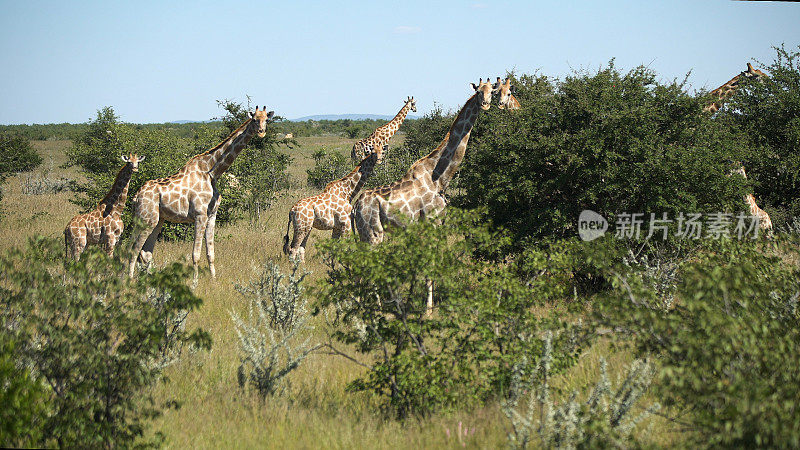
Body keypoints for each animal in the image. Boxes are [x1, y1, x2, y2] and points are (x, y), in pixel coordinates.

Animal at [126, 107, 274, 280]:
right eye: (254, 119)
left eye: (266, 119)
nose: (261, 132)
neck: (212, 172)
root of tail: (136, 196)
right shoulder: (199, 214)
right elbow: (195, 254)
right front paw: (194, 282)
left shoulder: (212, 215)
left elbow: (211, 252)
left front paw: (213, 279)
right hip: (145, 219)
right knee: (134, 249)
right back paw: (128, 280)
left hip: (157, 220)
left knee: (145, 252)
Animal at [352, 77, 496, 314]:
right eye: (478, 92)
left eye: (491, 91)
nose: (485, 104)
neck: (440, 176)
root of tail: (354, 208)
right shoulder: (432, 221)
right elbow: (430, 263)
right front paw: (428, 309)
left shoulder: (434, 224)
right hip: (374, 233)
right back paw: (377, 307)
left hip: (364, 234)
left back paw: (359, 302)